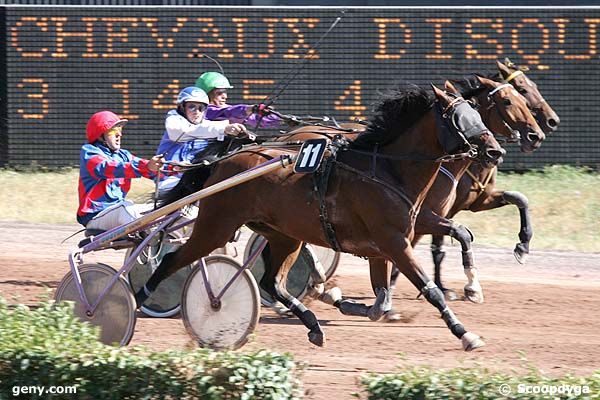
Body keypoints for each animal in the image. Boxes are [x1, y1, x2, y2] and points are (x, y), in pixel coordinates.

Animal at [137, 86, 506, 350]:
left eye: (478, 114)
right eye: (460, 117)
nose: (496, 151)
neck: (388, 170)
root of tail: (228, 159)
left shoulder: (384, 247)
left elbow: (381, 299)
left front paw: (343, 301)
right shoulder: (394, 242)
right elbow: (430, 291)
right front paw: (465, 333)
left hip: (284, 236)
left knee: (272, 282)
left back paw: (313, 326)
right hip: (217, 224)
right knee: (171, 259)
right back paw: (140, 298)